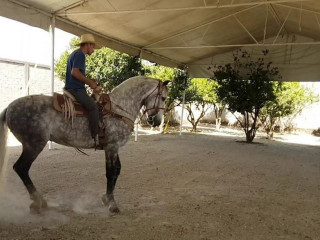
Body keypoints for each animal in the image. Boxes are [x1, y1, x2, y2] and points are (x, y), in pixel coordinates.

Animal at [0, 76, 169, 213]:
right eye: (163, 97)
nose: (156, 121)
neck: (118, 109)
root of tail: (9, 107)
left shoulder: (112, 148)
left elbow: (117, 170)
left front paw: (106, 198)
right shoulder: (112, 147)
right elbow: (111, 172)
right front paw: (112, 204)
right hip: (34, 145)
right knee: (21, 168)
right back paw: (38, 201)